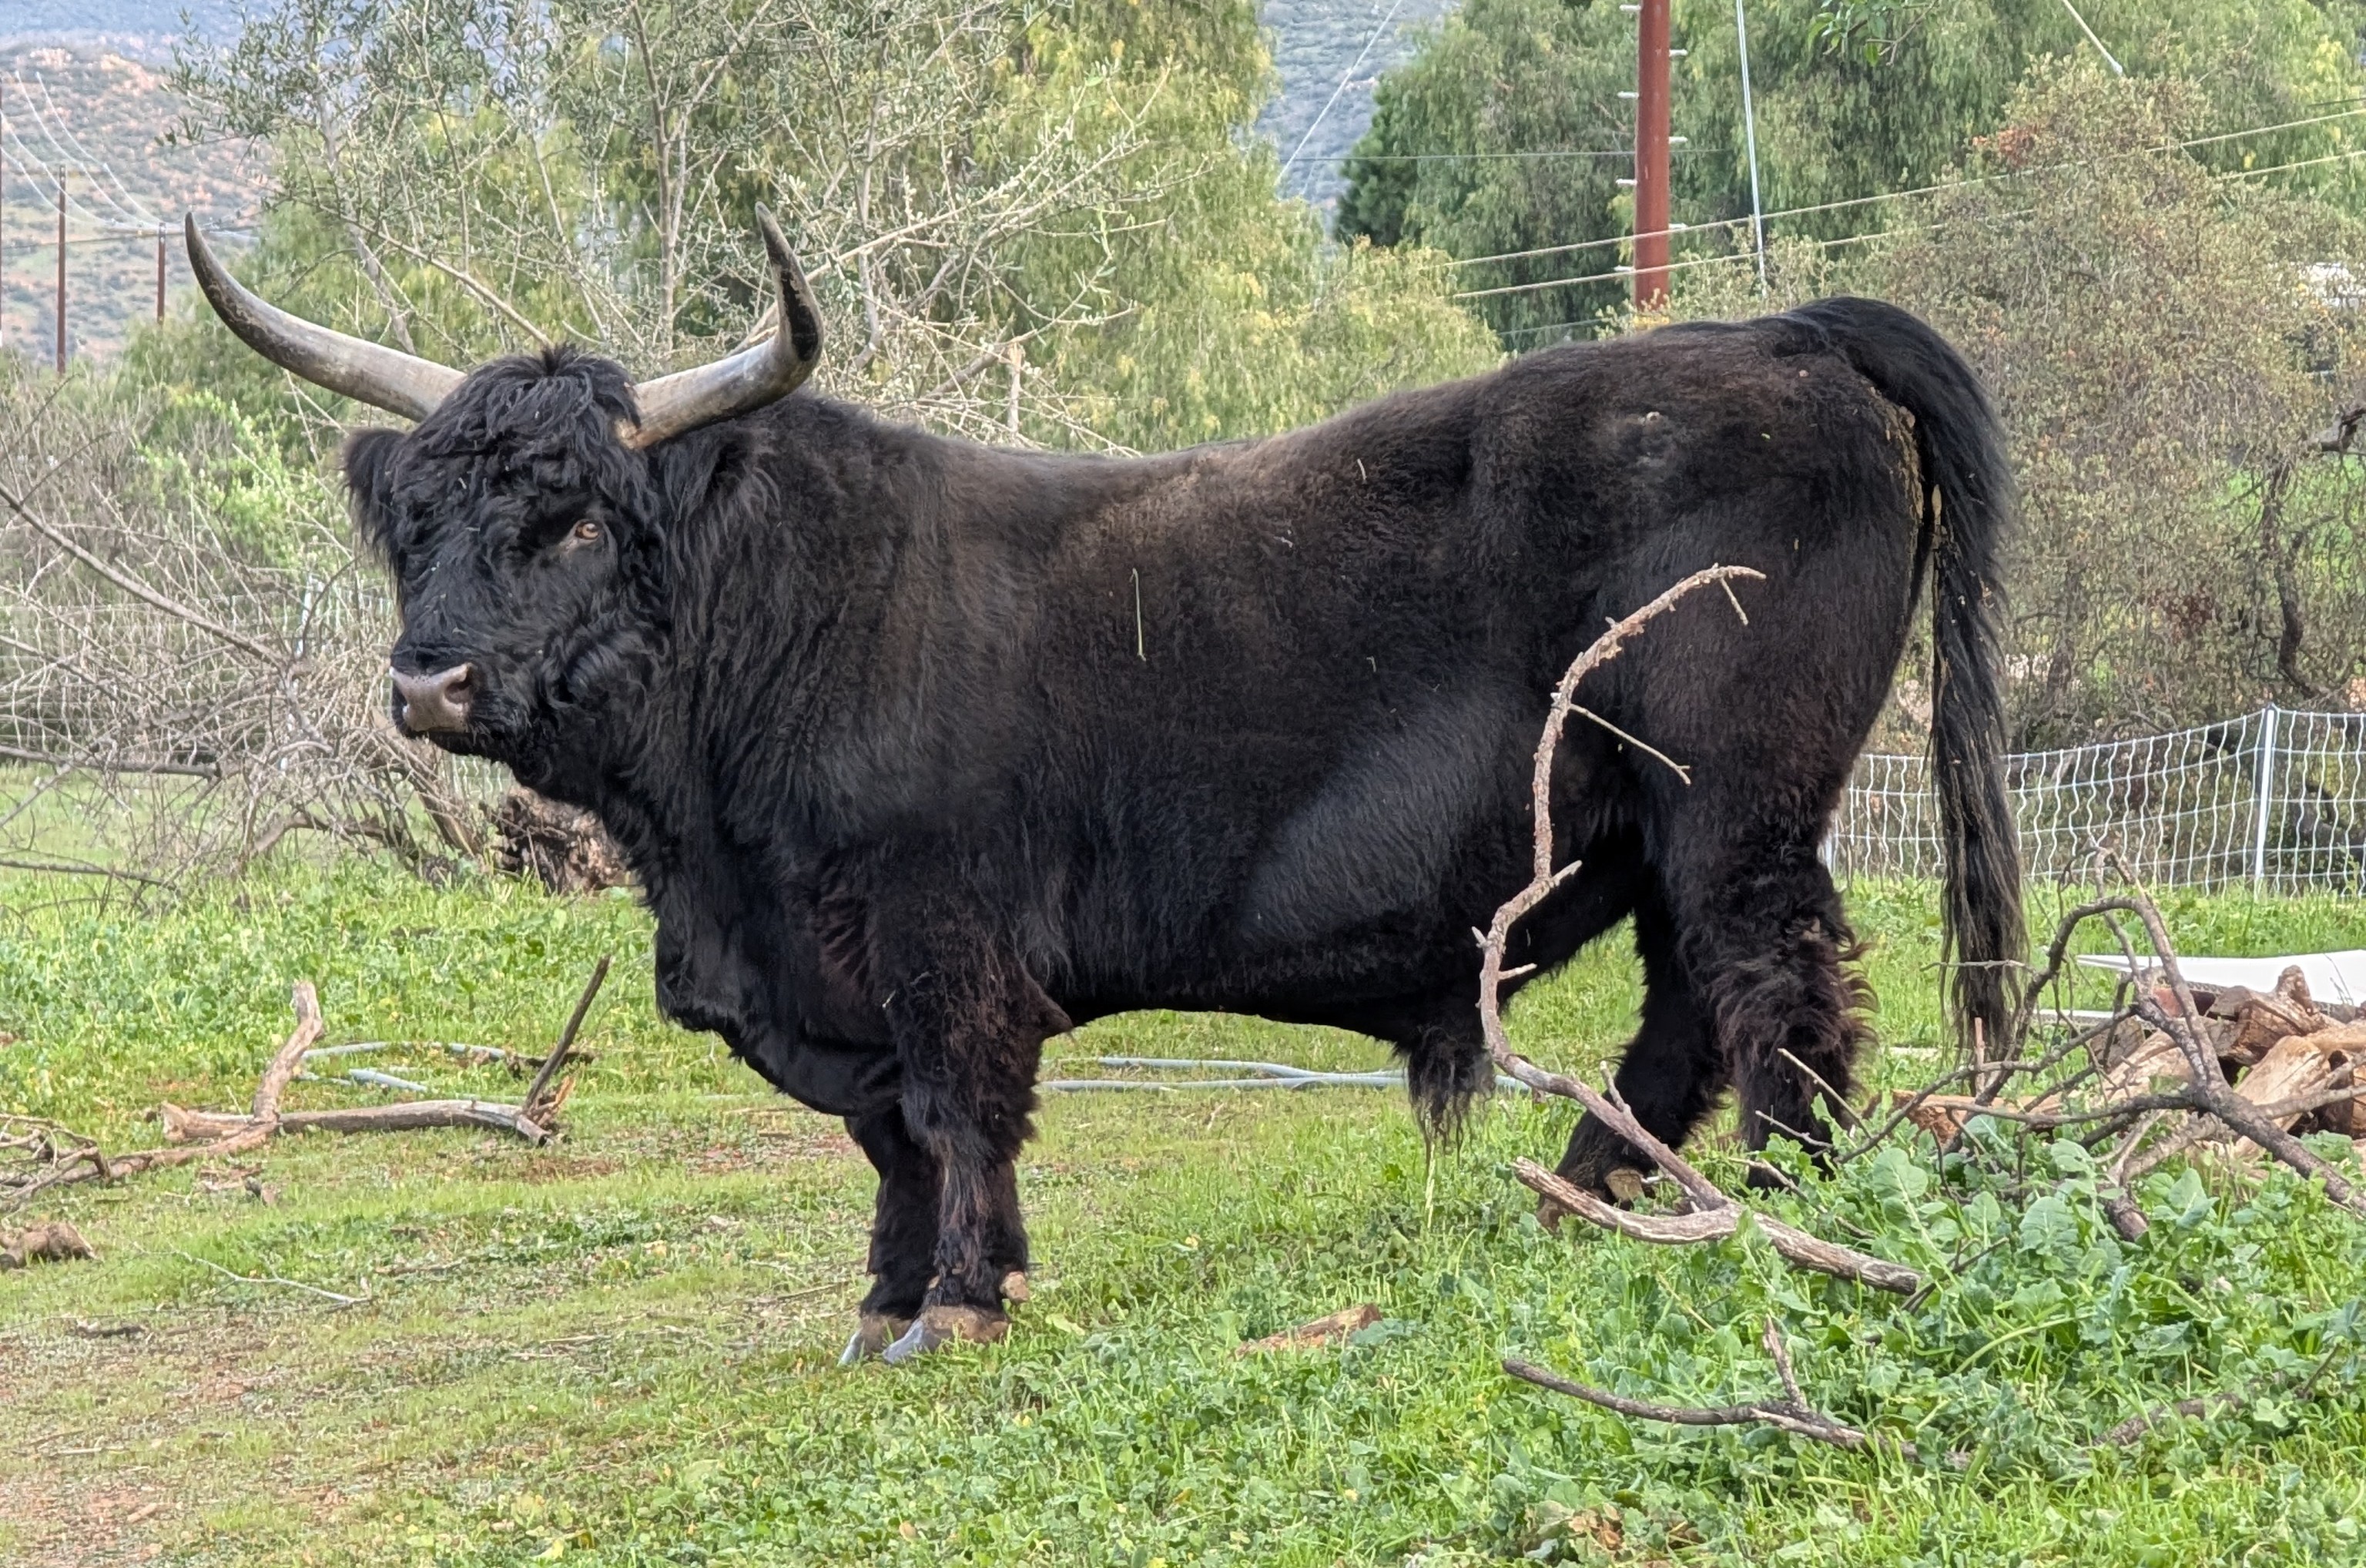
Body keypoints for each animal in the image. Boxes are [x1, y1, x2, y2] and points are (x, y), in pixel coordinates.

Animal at [186, 210, 2022, 1364]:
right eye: (418, 521)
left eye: (569, 519)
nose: (426, 681)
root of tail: (1782, 338)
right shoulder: (831, 977)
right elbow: (884, 1136)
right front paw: (885, 1296)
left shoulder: (940, 941)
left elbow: (951, 1111)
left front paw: (956, 1303)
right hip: (1653, 827)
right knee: (1690, 1004)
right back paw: (1597, 1186)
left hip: (1733, 806)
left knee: (1778, 988)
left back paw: (1772, 1205)